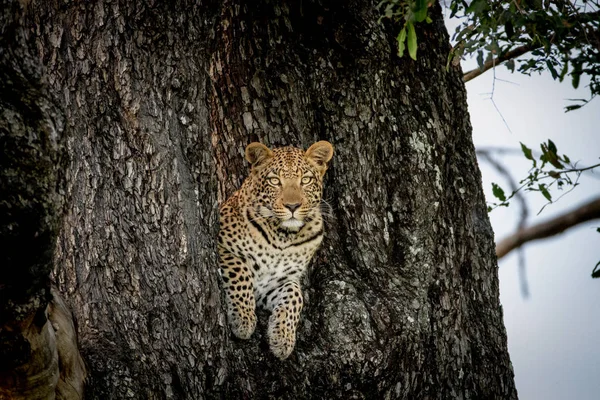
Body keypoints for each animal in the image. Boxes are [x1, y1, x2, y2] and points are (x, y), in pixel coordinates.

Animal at [219, 140, 336, 360]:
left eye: (305, 180)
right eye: (275, 181)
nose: (293, 206)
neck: (283, 237)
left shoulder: (280, 280)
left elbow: (295, 297)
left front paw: (282, 338)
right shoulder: (223, 247)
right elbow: (241, 272)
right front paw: (243, 320)